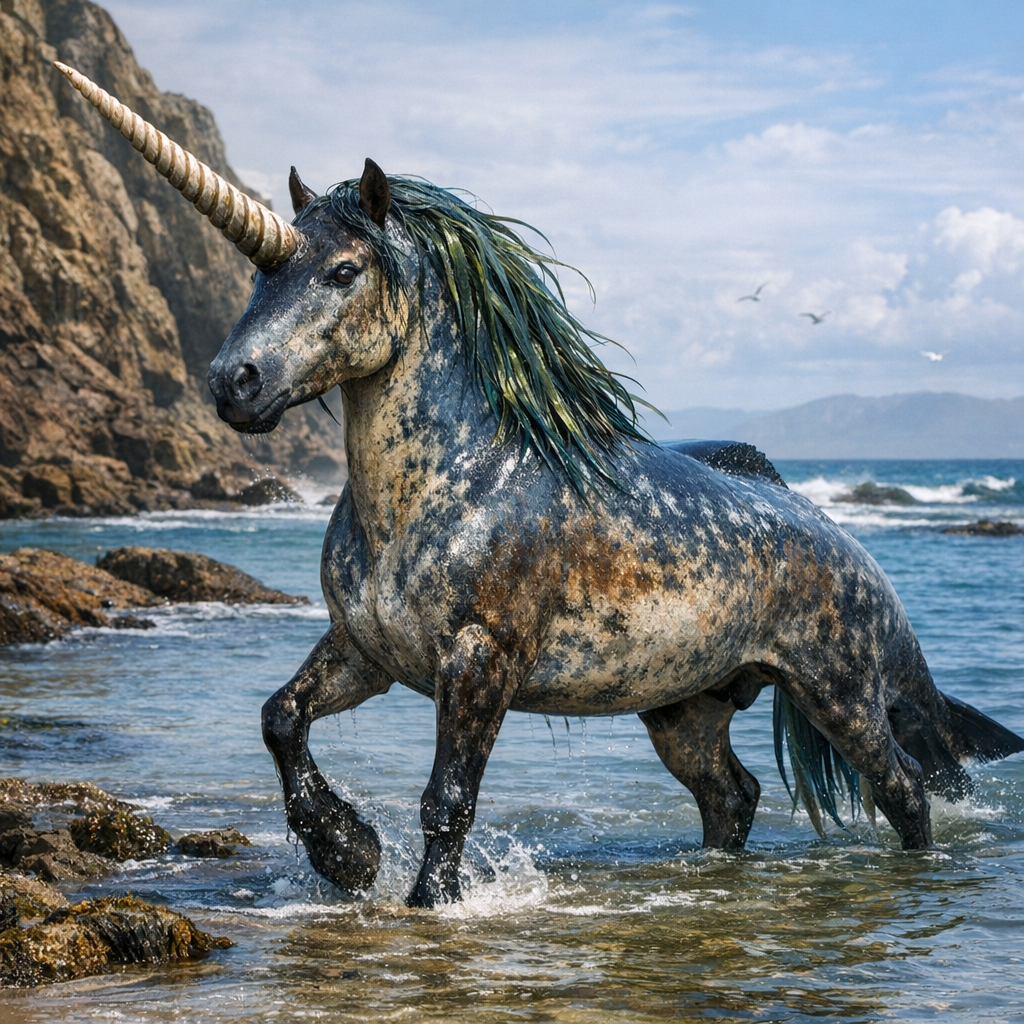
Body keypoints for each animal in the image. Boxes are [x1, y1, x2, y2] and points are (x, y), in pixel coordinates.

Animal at [59, 63, 1024, 909]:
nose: (235, 383)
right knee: (734, 795)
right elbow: (280, 718)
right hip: (686, 707)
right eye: (264, 272)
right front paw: (346, 853)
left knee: (902, 790)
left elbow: (447, 800)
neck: (440, 490)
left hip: (839, 694)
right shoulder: (369, 652)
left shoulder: (480, 661)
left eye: (342, 271)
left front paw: (422, 901)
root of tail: (845, 542)